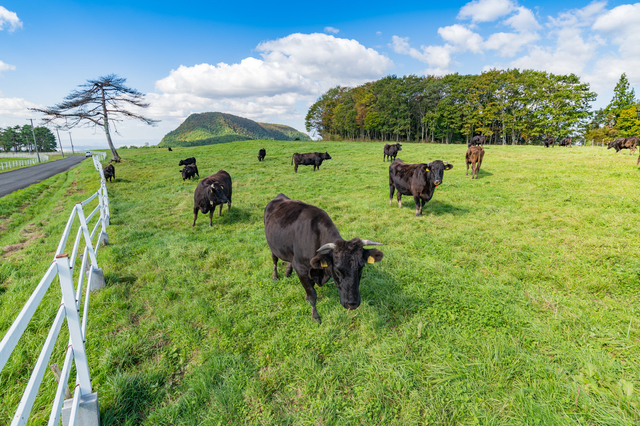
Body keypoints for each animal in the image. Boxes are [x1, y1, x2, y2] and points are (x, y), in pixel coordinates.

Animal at [262, 194, 382, 322]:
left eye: (361, 267)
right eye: (337, 270)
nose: (352, 304)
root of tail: (280, 196)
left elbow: (311, 286)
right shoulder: (300, 268)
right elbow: (312, 294)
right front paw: (315, 316)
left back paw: (287, 272)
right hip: (272, 245)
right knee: (274, 259)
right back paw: (275, 276)